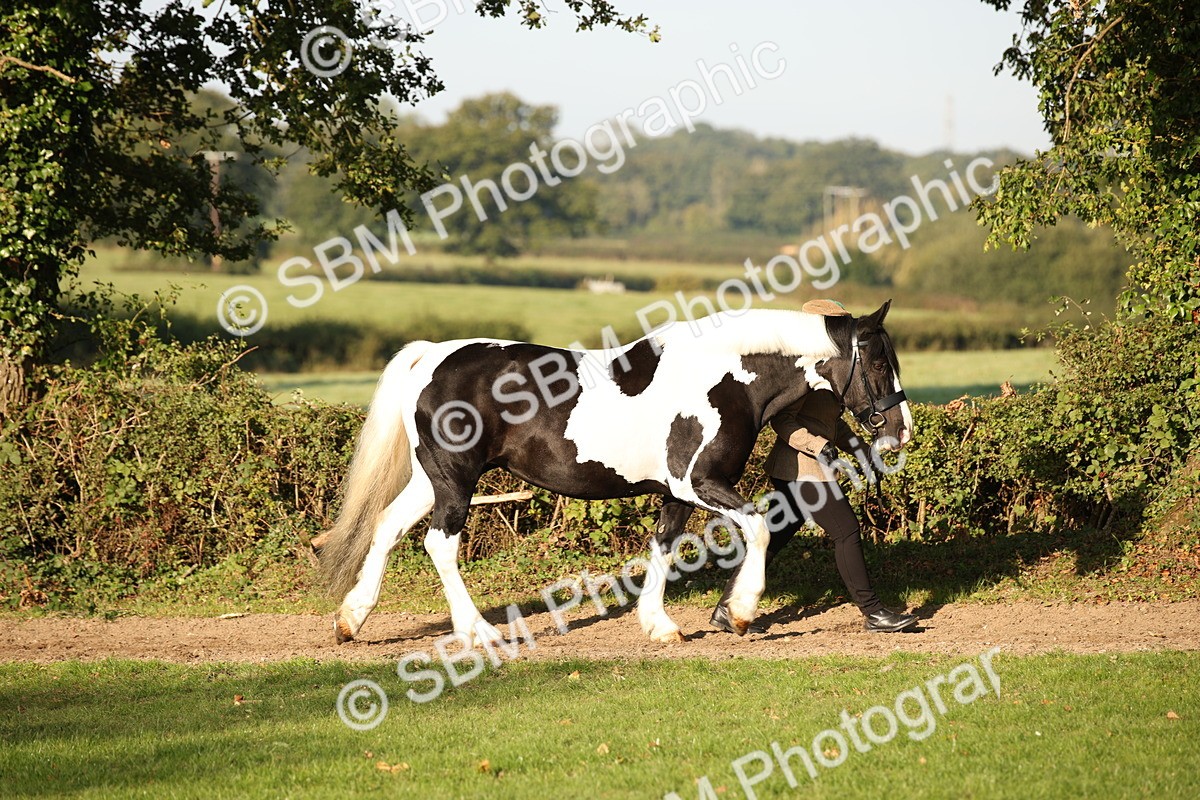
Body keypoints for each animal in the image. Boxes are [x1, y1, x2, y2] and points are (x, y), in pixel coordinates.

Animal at [318, 301, 912, 646]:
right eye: (879, 361)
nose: (901, 430)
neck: (724, 378)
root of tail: (433, 355)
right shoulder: (700, 483)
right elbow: (760, 528)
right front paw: (742, 612)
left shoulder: (677, 493)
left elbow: (663, 547)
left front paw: (660, 625)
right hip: (456, 480)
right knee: (438, 543)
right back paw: (481, 631)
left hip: (432, 479)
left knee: (388, 526)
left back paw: (351, 620)